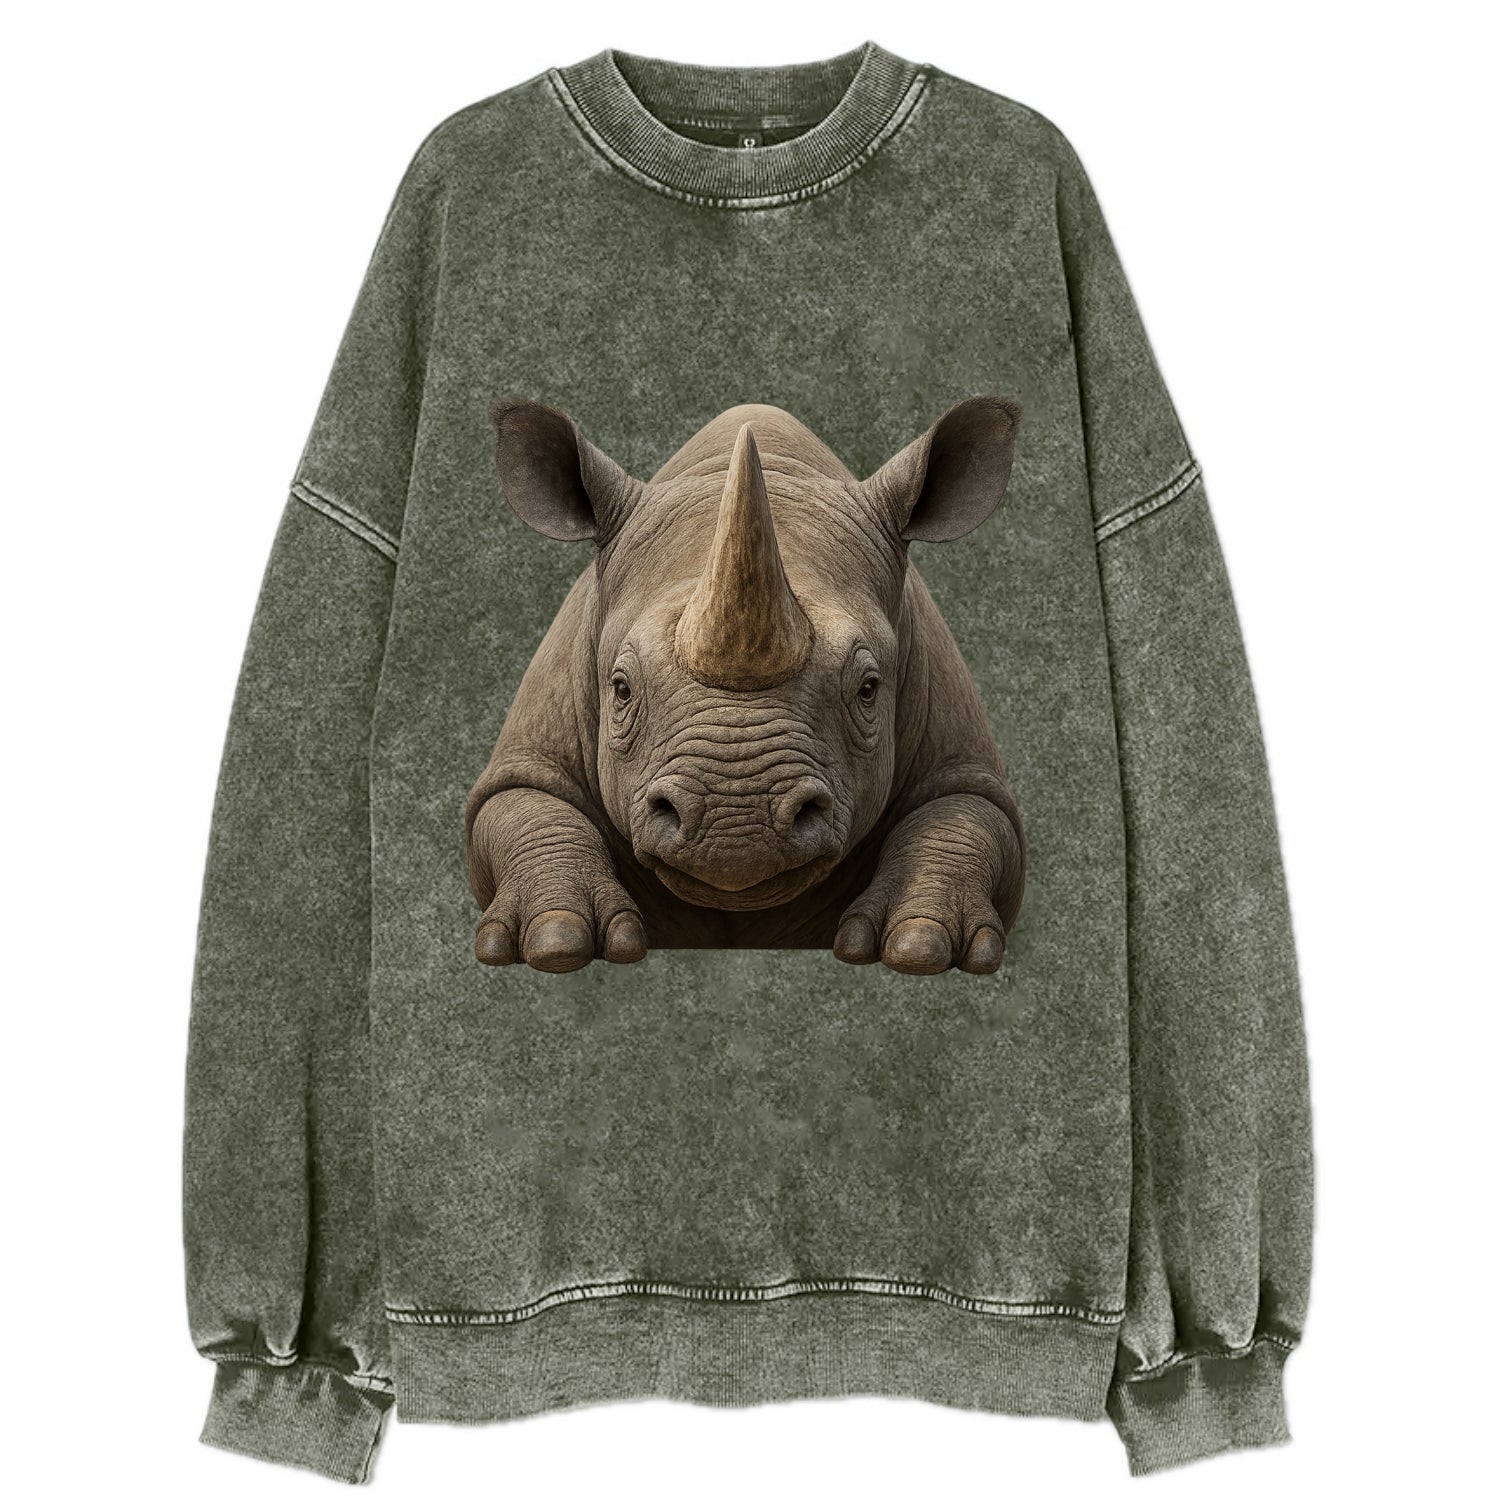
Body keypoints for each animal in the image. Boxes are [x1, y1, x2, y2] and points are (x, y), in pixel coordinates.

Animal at [464, 396, 1026, 976]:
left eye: (869, 689)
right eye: (620, 689)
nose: (736, 826)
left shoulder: (957, 749)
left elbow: (965, 814)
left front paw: (921, 945)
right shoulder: (532, 749)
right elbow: (522, 803)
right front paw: (557, 941)